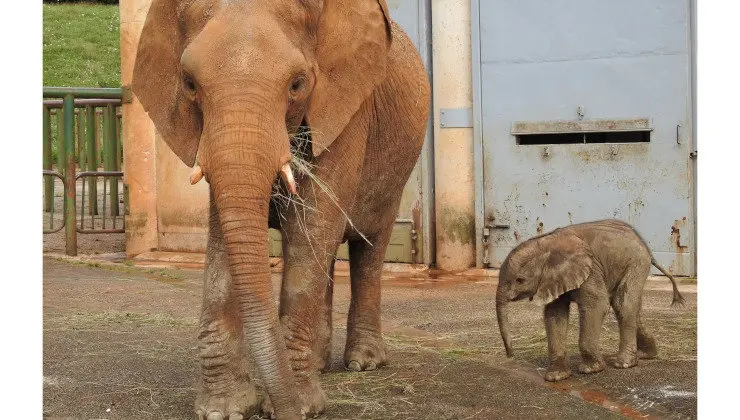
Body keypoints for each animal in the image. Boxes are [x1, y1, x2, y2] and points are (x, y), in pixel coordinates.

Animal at [131, 0, 430, 418]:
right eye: (189, 84)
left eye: (297, 84)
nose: (277, 407)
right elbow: (226, 237)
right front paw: (225, 410)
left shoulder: (346, 109)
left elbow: (314, 223)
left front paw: (300, 408)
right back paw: (321, 365)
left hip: (397, 169)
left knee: (367, 247)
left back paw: (364, 362)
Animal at [495, 219, 684, 382]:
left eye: (520, 280)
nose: (511, 355)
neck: (546, 243)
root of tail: (644, 245)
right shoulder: (555, 278)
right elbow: (554, 313)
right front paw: (556, 377)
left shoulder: (591, 270)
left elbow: (596, 305)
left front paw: (591, 370)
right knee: (628, 306)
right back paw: (646, 355)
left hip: (636, 262)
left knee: (623, 304)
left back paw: (624, 364)